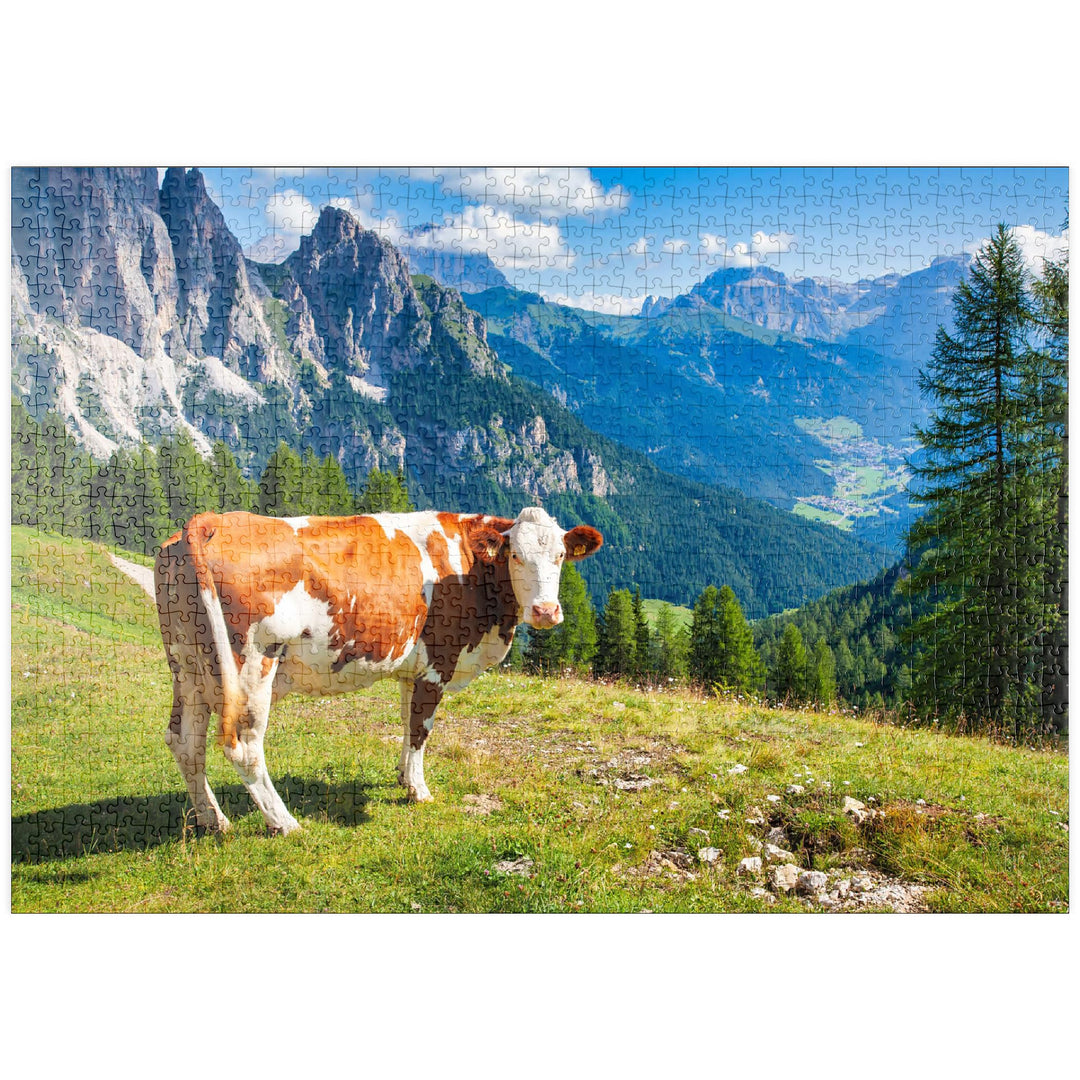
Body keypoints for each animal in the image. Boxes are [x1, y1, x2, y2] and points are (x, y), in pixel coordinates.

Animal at [154, 506, 603, 835]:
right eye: (516, 557)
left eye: (561, 556)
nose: (546, 611)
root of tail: (210, 521)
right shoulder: (438, 664)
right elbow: (421, 730)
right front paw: (419, 791)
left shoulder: (412, 669)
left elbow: (407, 723)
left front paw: (404, 777)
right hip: (251, 663)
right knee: (243, 747)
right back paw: (285, 823)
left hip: (188, 667)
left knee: (184, 741)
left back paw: (214, 820)